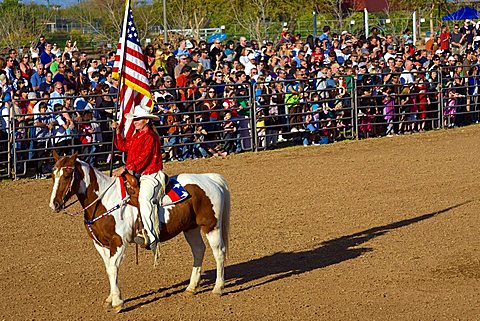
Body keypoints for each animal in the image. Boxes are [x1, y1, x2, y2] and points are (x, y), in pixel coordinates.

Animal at [48, 151, 231, 312]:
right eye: (53, 174)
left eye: (67, 175)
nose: (54, 204)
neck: (104, 201)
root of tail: (210, 178)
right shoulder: (100, 244)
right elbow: (108, 268)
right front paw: (110, 298)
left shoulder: (119, 242)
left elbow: (113, 268)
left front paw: (117, 303)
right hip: (190, 228)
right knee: (199, 250)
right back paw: (191, 287)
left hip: (211, 226)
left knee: (219, 252)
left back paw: (217, 288)